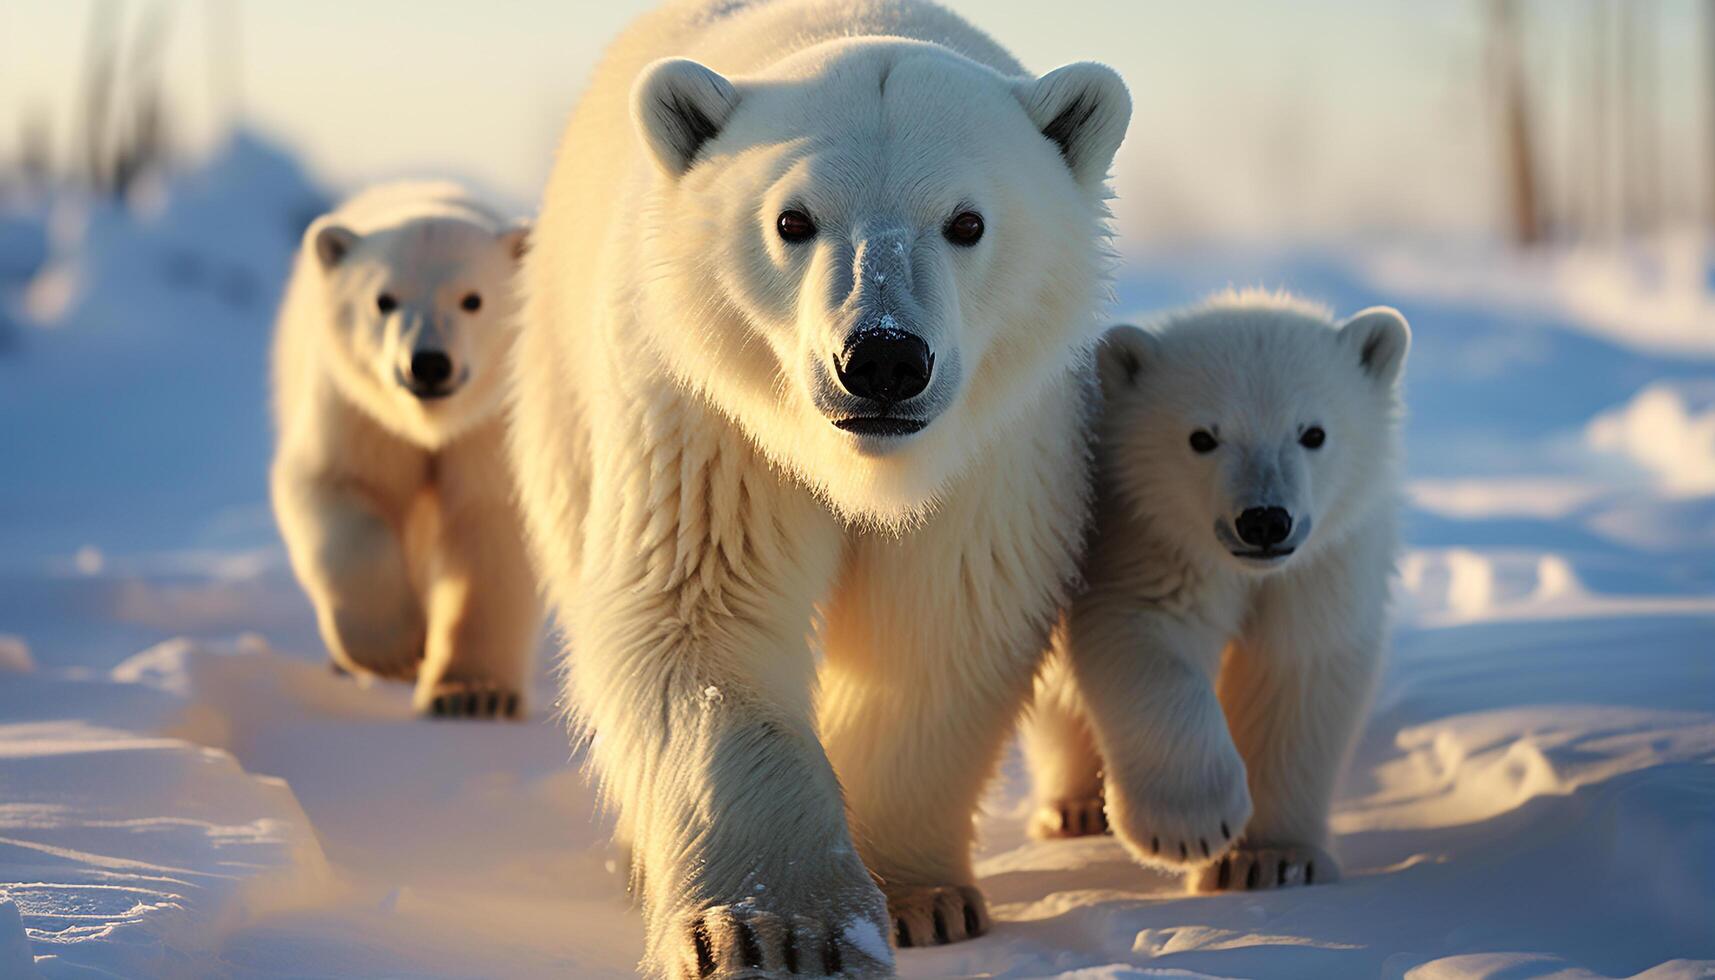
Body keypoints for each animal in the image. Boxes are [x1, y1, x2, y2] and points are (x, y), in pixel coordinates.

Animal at [270, 181, 535, 720]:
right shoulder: (358, 413)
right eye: (383, 300)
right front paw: (391, 651)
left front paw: (474, 694)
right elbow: (341, 488)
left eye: (473, 299)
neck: (430, 427)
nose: (429, 363)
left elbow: (490, 528)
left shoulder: (489, 428)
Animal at [507, 0, 1125, 974]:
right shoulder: (708, 418)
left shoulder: (992, 445)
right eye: (792, 220)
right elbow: (703, 613)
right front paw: (772, 930)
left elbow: (937, 626)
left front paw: (920, 898)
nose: (882, 359)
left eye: (966, 222)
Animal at [1029, 291, 1406, 892]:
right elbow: (1146, 638)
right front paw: (1189, 829)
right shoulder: (1150, 540)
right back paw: (1075, 809)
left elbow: (1293, 678)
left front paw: (1271, 860)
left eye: (1313, 433)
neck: (1250, 573)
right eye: (1202, 438)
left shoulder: (1319, 571)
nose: (1264, 521)